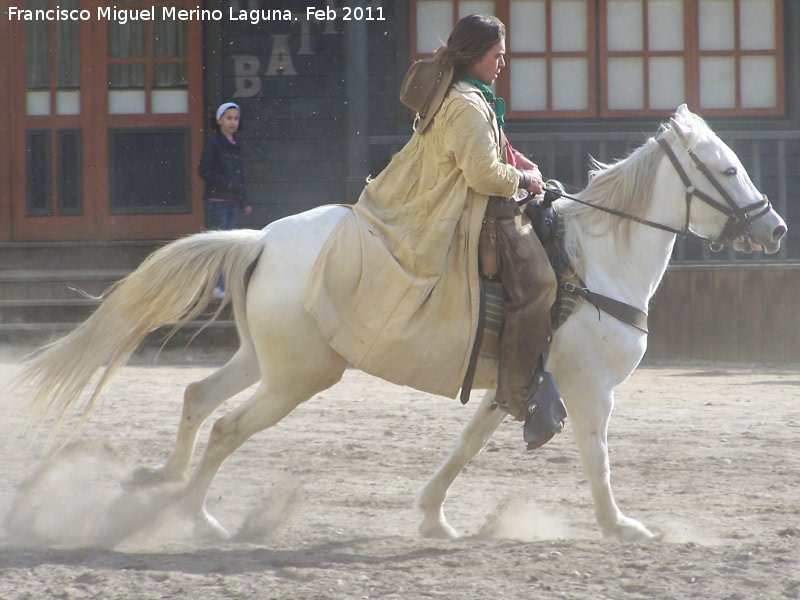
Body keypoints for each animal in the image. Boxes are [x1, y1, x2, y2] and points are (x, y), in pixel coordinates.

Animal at [15, 104, 784, 544]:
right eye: (726, 168)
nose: (774, 228)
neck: (597, 260)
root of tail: (260, 238)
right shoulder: (590, 388)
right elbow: (597, 459)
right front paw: (620, 525)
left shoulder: (517, 380)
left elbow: (466, 445)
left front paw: (434, 516)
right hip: (297, 377)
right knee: (228, 426)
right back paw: (197, 517)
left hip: (265, 360)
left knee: (198, 398)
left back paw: (163, 484)